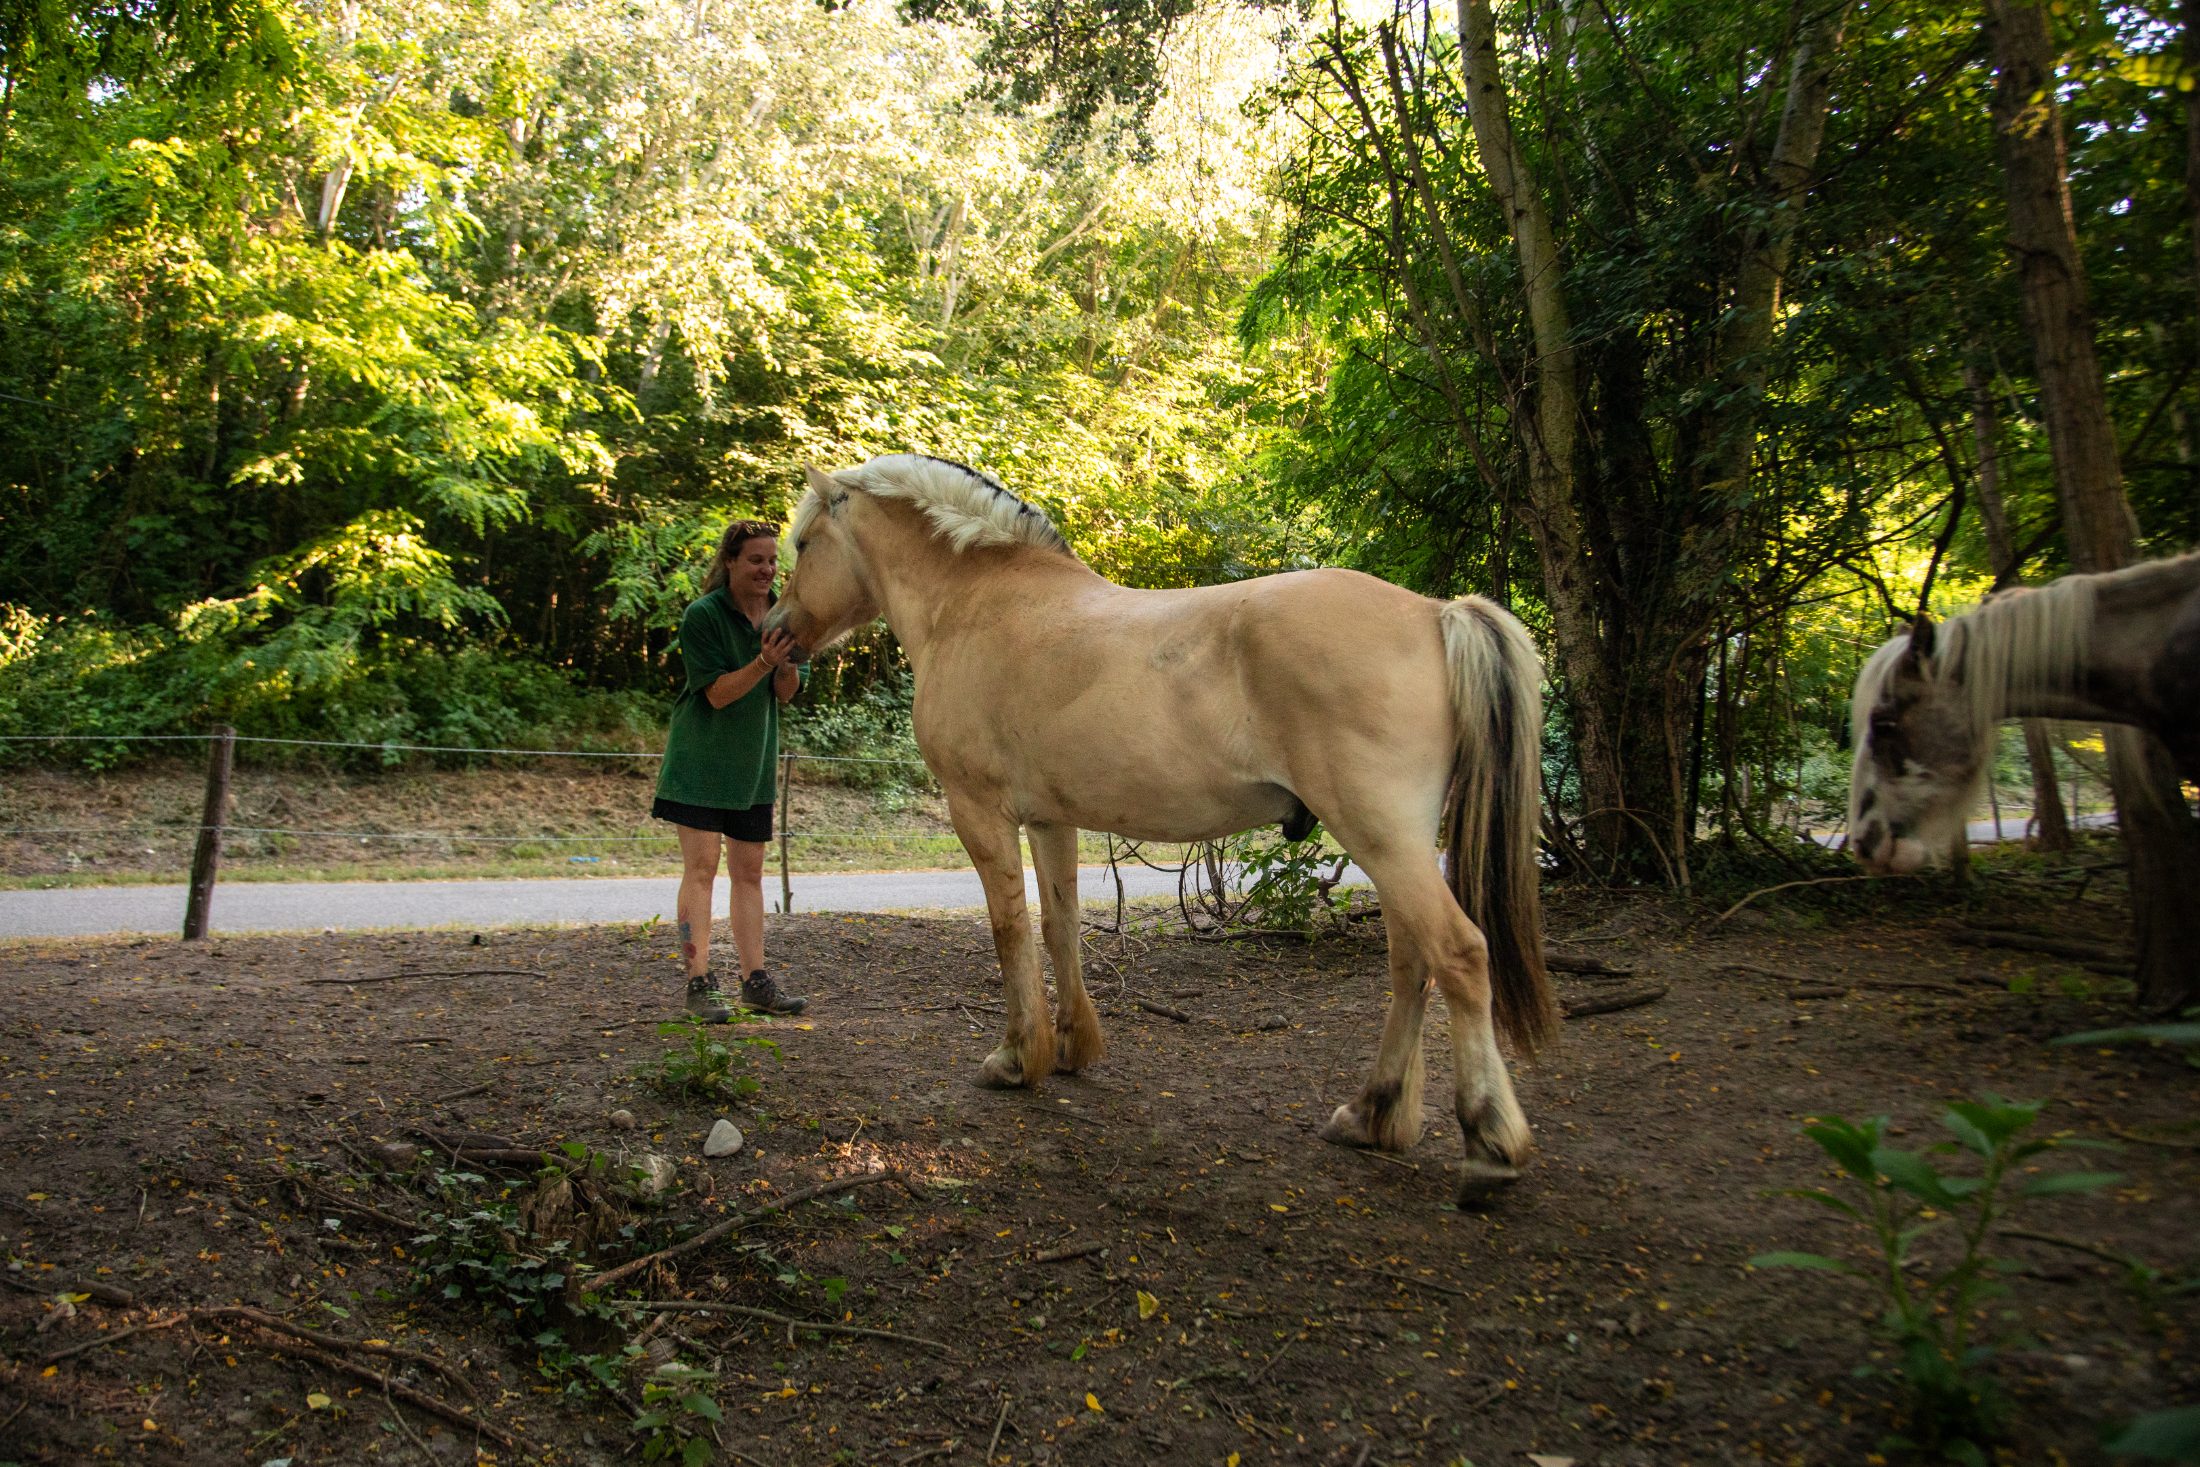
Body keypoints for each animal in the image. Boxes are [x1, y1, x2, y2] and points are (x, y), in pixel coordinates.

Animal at [762, 454, 1558, 1206]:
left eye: (803, 542)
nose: (773, 633)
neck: (979, 601)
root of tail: (1434, 615)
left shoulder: (979, 811)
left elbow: (1010, 930)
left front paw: (1017, 1058)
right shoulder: (1050, 819)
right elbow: (1060, 924)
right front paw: (1072, 1047)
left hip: (1382, 837)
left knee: (1458, 954)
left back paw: (1489, 1143)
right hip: (1395, 845)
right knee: (1409, 964)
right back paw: (1371, 1113)